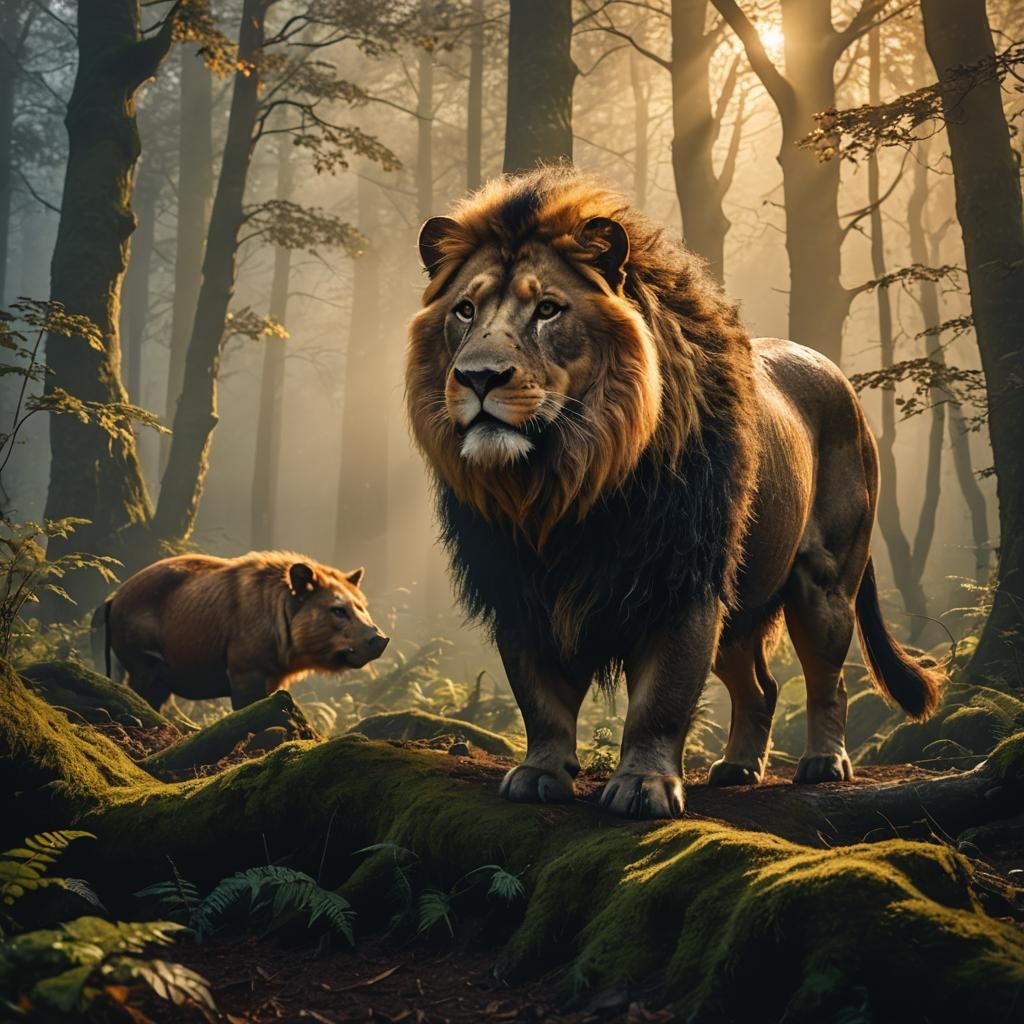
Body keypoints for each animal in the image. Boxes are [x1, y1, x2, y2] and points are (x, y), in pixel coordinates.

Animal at [94, 551, 389, 710]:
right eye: (338, 609)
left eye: (362, 605)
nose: (380, 639)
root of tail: (111, 600)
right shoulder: (244, 670)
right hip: (145, 666)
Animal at [406, 167, 943, 819]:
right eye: (464, 310)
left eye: (548, 310)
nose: (478, 377)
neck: (563, 485)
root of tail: (841, 380)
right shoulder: (519, 587)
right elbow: (539, 696)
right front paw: (540, 773)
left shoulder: (682, 580)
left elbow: (661, 699)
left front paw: (643, 785)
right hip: (742, 597)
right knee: (761, 686)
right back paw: (738, 767)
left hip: (824, 582)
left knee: (827, 677)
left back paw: (823, 764)